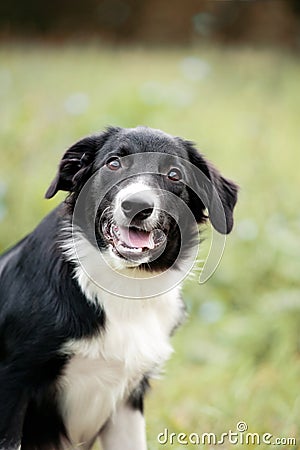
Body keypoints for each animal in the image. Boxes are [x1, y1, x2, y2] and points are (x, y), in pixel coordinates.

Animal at [0, 126, 239, 450]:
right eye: (113, 163)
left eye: (174, 174)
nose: (137, 206)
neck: (126, 284)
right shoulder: (13, 383)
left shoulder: (128, 398)